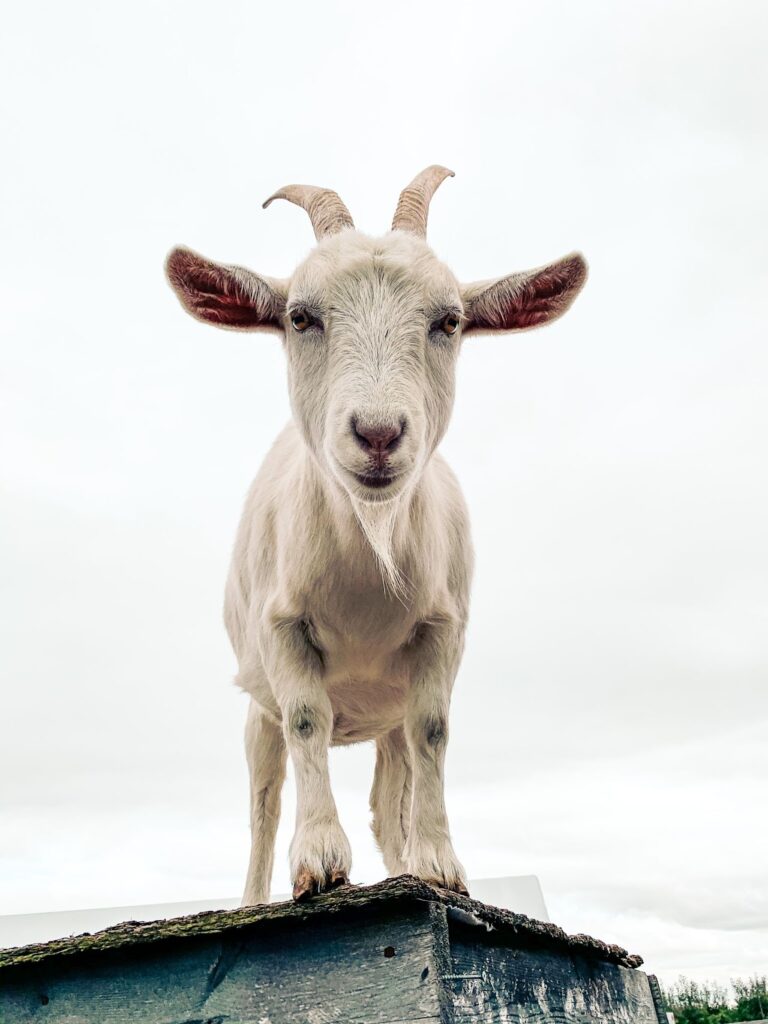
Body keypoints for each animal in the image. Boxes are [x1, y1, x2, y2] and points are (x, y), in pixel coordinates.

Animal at [166, 167, 587, 904]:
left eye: (449, 321)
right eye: (299, 316)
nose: (379, 433)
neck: (370, 553)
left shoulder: (442, 632)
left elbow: (434, 733)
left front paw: (440, 865)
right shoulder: (283, 628)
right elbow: (307, 721)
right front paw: (318, 861)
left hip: (384, 720)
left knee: (390, 800)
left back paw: (404, 861)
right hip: (256, 710)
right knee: (263, 802)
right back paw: (253, 895)